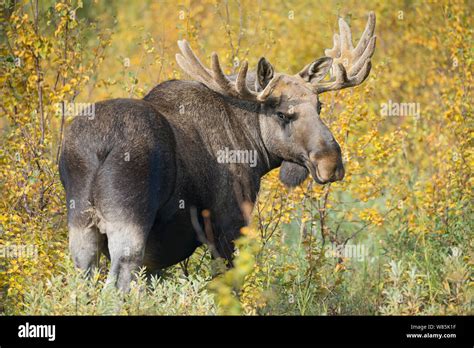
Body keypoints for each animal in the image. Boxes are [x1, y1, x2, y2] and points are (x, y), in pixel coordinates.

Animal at [60, 12, 378, 290]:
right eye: (282, 114)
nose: (331, 163)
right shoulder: (230, 221)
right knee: (118, 284)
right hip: (128, 220)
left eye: (319, 106)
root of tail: (100, 148)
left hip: (81, 224)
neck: (255, 147)